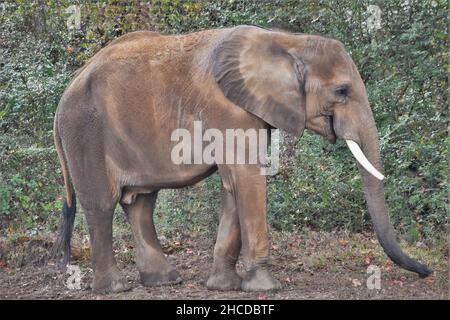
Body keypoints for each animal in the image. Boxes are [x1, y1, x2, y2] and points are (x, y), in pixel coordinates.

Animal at [53, 26, 432, 294]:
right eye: (341, 91)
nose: (427, 272)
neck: (286, 41)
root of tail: (65, 94)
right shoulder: (229, 109)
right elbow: (247, 176)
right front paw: (266, 288)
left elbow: (233, 183)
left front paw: (223, 287)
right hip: (84, 130)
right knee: (102, 205)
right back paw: (115, 289)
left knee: (141, 203)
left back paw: (164, 282)